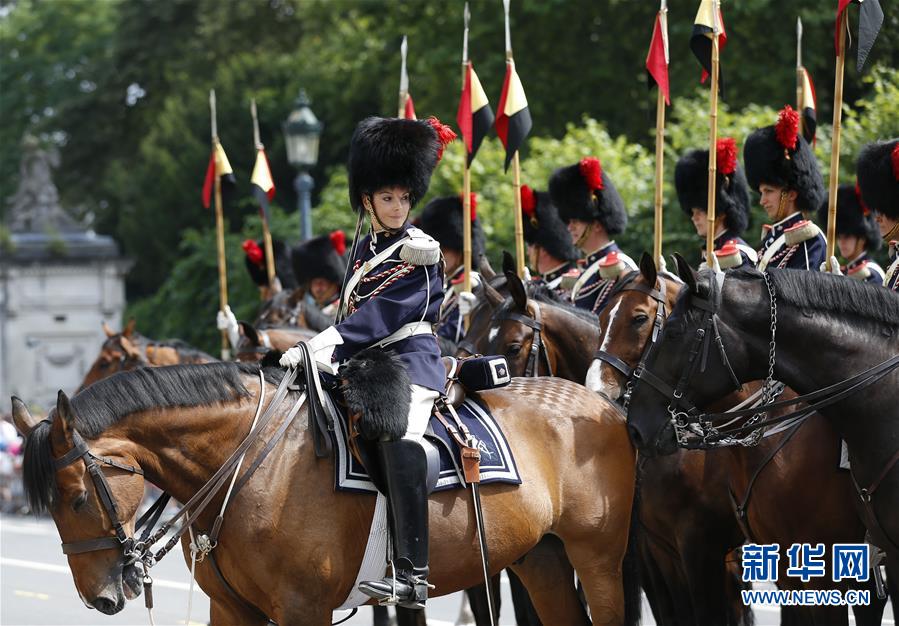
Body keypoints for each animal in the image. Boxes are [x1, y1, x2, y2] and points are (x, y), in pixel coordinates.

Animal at [12, 358, 632, 620]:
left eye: (76, 499)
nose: (101, 598)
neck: (251, 463)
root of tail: (597, 401)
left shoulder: (303, 610)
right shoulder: (232, 611)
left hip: (599, 561)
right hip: (540, 558)